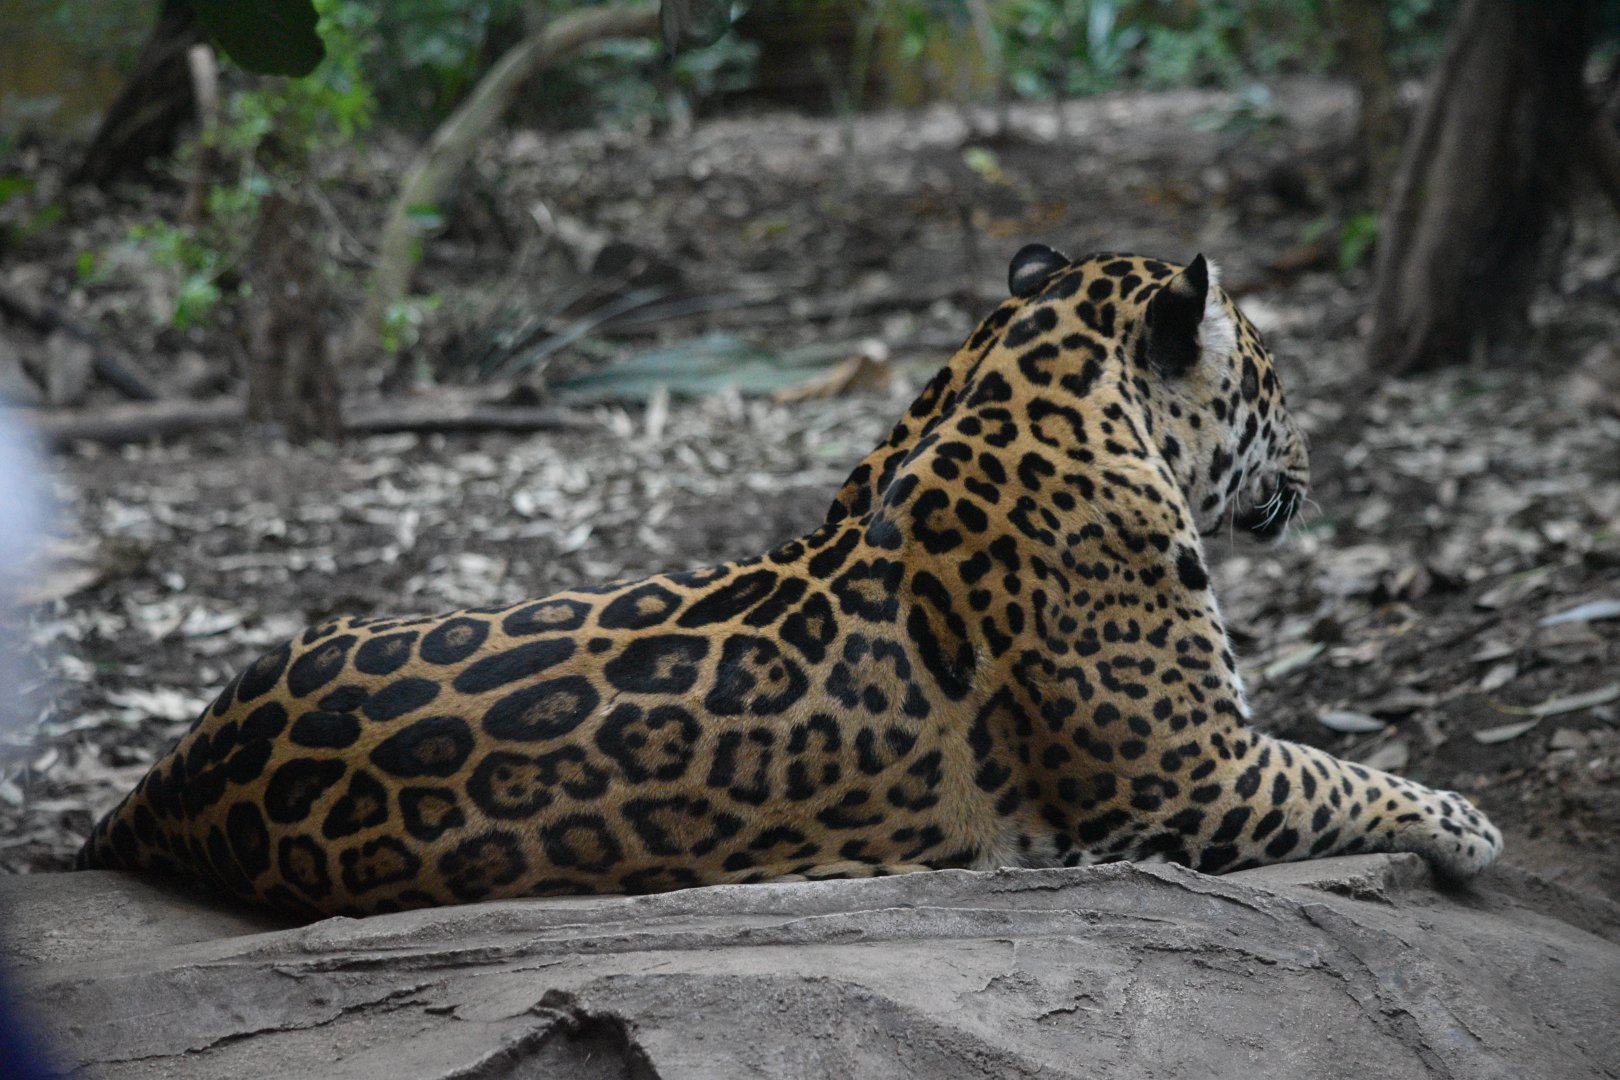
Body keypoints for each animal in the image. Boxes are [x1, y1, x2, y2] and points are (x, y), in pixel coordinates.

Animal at [78, 244, 1502, 918]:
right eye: (1275, 375)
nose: (1313, 462)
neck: (1019, 387)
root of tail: (157, 789)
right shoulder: (1192, 774)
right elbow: (1343, 773)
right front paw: (1470, 820)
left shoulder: (1205, 767)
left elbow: (1339, 763)